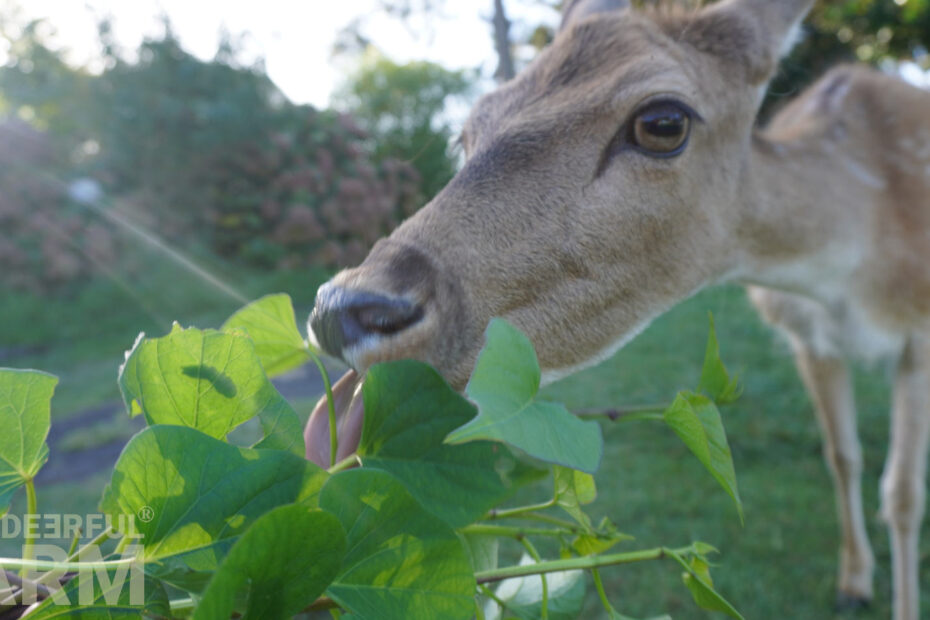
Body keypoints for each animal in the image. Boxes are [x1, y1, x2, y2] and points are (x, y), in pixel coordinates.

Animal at [302, 2, 928, 616]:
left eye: (664, 122)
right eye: (467, 130)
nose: (342, 309)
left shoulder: (917, 338)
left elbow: (901, 493)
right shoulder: (807, 337)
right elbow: (842, 456)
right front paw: (853, 583)